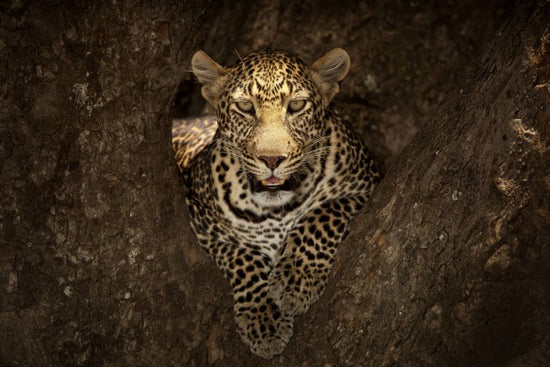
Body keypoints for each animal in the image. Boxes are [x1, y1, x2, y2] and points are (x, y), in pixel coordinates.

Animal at [175, 48, 382, 360]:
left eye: (296, 105)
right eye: (245, 107)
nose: (272, 159)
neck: (276, 211)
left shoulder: (366, 186)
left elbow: (321, 215)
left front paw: (295, 280)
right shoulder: (203, 227)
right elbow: (243, 258)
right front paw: (264, 319)